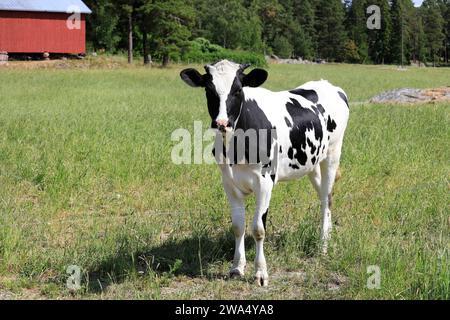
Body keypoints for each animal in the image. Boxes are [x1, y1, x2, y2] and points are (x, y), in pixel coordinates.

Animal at [181, 59, 350, 284]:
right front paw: (237, 267)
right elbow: (238, 227)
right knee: (323, 194)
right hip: (312, 162)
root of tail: (329, 84)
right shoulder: (229, 183)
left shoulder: (265, 182)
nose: (222, 123)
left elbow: (258, 229)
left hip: (332, 153)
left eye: (238, 90)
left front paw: (260, 273)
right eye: (209, 90)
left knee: (327, 199)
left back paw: (323, 245)